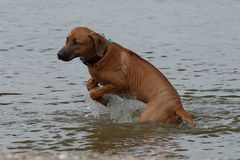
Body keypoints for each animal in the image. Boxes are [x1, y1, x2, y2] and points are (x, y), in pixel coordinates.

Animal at [57, 27, 195, 127]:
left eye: (76, 42)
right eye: (66, 40)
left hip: (148, 116)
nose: (58, 54)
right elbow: (90, 85)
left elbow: (94, 93)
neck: (102, 55)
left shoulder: (120, 83)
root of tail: (178, 107)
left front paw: (106, 101)